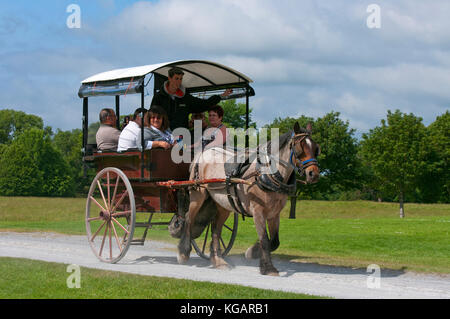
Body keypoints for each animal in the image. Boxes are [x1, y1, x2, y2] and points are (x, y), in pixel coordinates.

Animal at [176, 121, 320, 276]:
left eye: (316, 148)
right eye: (300, 148)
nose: (314, 174)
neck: (267, 174)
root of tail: (204, 153)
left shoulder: (274, 213)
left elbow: (274, 241)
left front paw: (252, 252)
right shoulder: (258, 211)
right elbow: (264, 240)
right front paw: (268, 268)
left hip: (224, 204)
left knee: (215, 229)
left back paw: (219, 261)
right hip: (198, 195)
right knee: (189, 219)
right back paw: (183, 252)